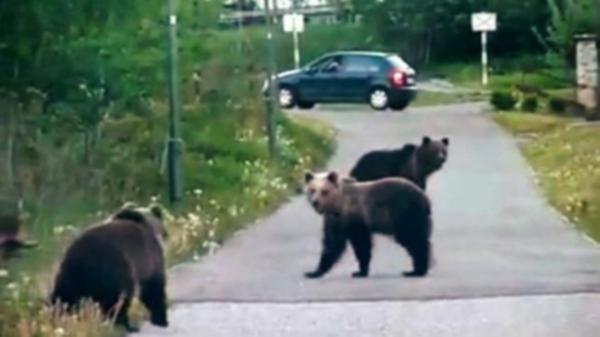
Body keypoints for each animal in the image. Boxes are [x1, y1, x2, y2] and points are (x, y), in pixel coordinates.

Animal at [304, 171, 432, 278]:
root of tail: (425, 199)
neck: (339, 205)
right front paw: (314, 272)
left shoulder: (356, 218)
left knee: (413, 239)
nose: (315, 202)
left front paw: (359, 272)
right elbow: (332, 244)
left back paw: (416, 270)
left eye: (324, 191)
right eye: (312, 190)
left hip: (405, 213)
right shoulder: (336, 221)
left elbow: (361, 244)